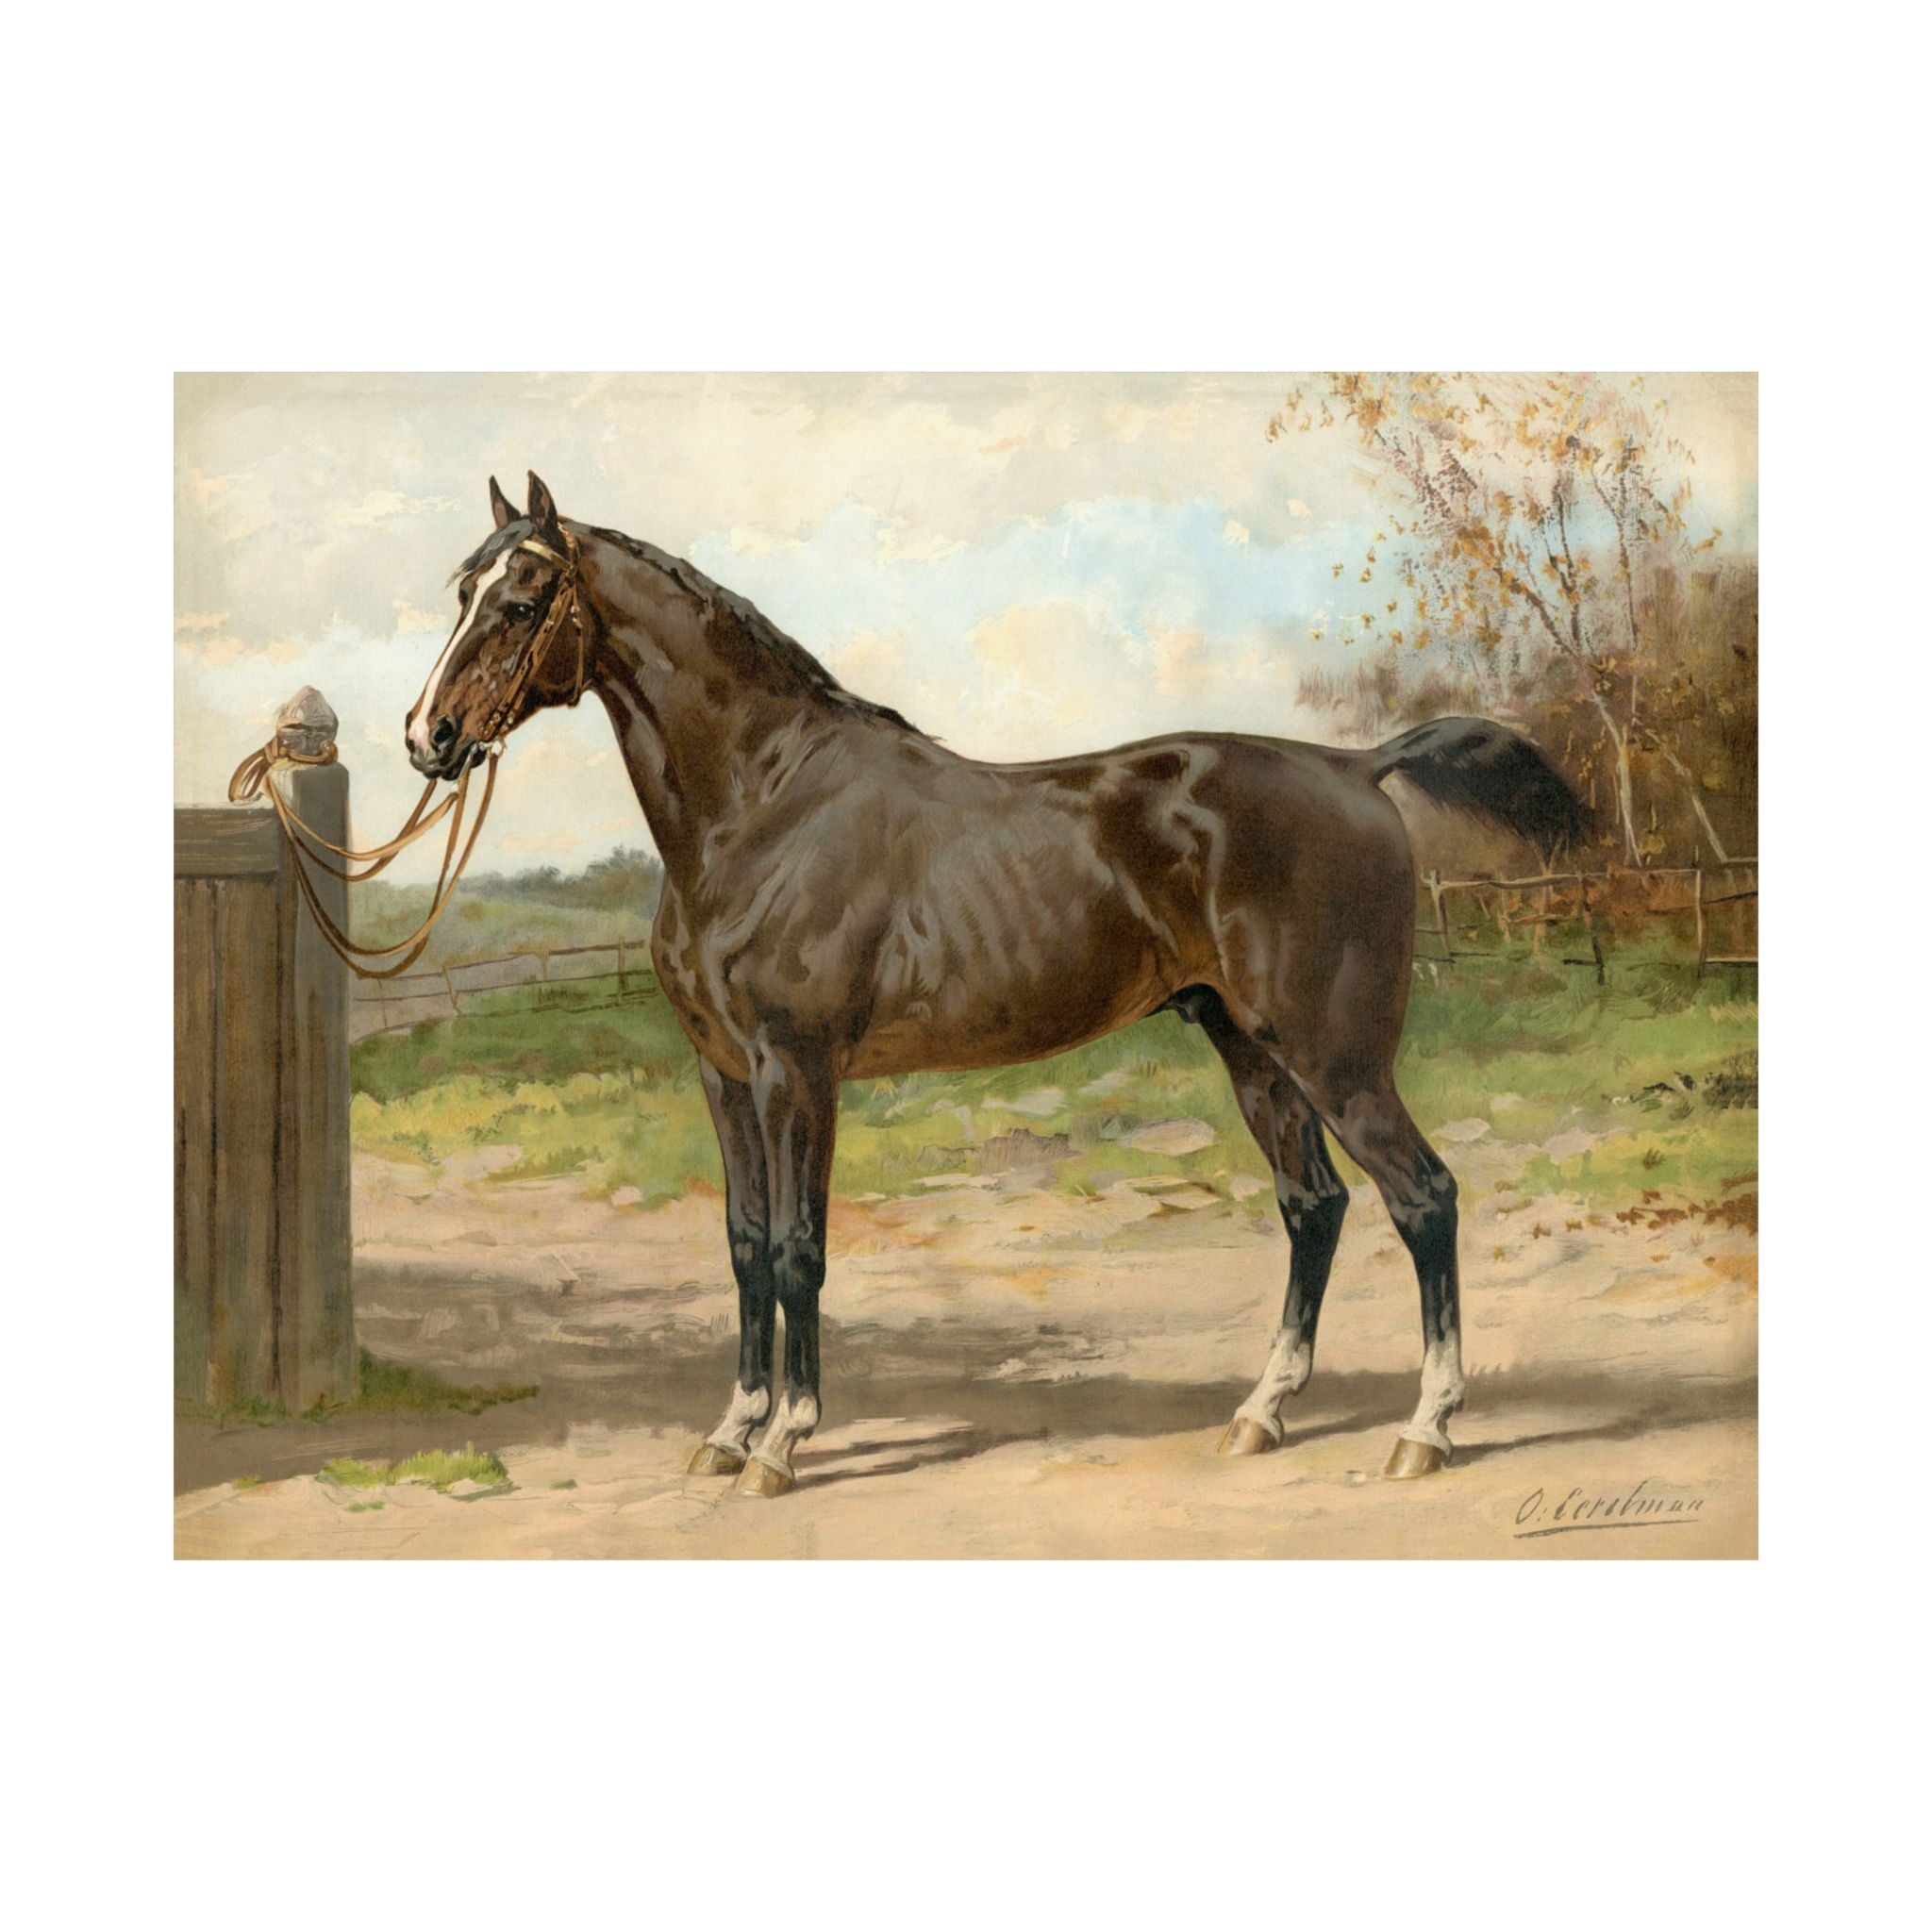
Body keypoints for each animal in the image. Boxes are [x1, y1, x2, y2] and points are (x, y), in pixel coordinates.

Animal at [406, 473, 1586, 1497]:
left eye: (519, 602)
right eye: (461, 591)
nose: (429, 737)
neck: (763, 806)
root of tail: (1354, 767)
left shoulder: (796, 1070)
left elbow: (797, 1248)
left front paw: (783, 1443)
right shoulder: (722, 1073)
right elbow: (743, 1245)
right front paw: (730, 1428)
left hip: (1333, 1056)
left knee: (1422, 1197)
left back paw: (1425, 1429)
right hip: (1251, 1049)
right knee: (1316, 1206)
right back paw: (1261, 1413)